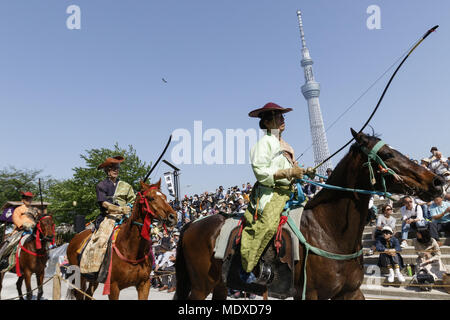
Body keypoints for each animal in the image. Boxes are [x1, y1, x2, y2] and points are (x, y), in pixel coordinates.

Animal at [174, 129, 444, 300]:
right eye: (387, 154)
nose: (437, 181)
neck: (330, 231)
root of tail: (191, 225)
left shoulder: (351, 292)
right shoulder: (312, 294)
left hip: (219, 284)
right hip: (201, 286)